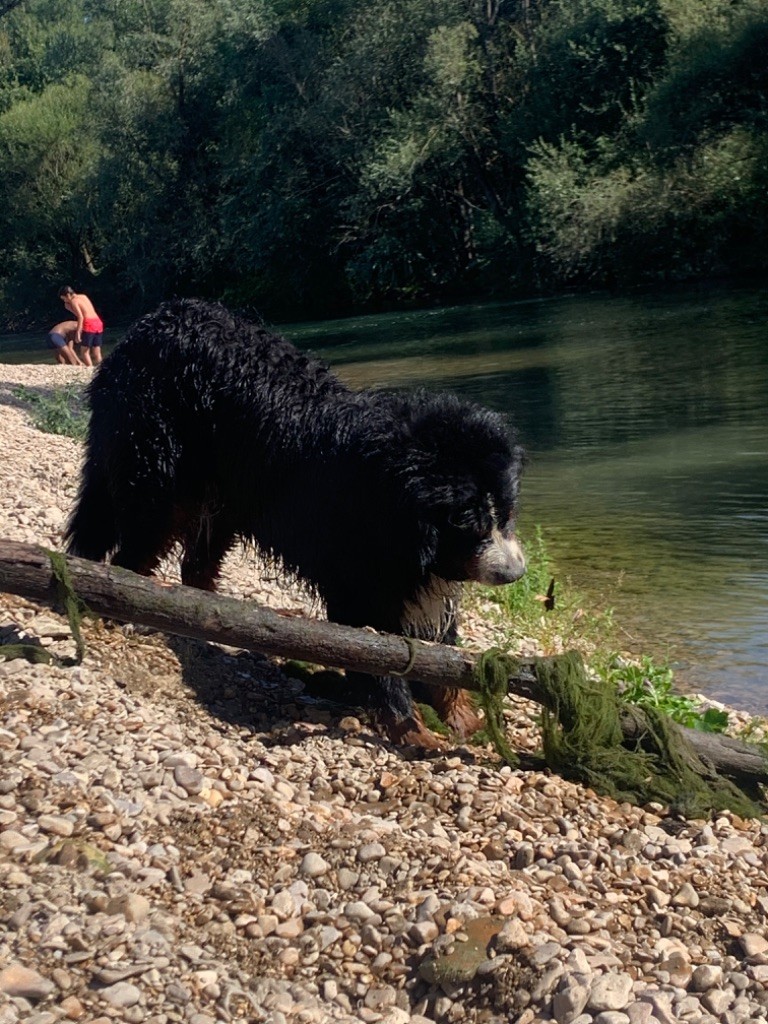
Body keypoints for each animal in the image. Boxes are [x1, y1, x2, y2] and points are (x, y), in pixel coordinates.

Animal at [66, 299, 528, 749]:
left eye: (506, 511)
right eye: (466, 520)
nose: (515, 573)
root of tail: (148, 325)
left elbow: (443, 652)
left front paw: (461, 715)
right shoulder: (361, 591)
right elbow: (383, 666)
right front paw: (412, 728)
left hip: (222, 496)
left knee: (196, 564)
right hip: (157, 473)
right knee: (134, 551)